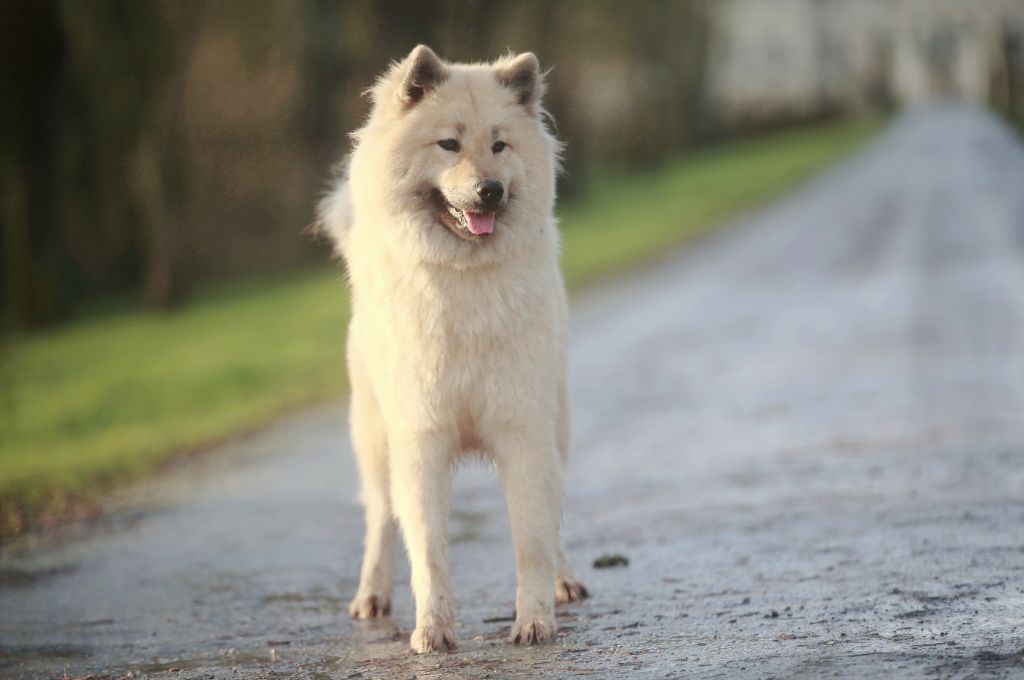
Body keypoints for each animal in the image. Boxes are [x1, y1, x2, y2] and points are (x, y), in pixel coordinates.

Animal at [315, 43, 589, 655]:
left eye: (499, 145)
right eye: (449, 144)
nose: (491, 190)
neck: (464, 285)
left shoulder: (523, 432)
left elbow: (532, 539)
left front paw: (534, 620)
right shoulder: (421, 441)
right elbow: (428, 550)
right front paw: (433, 628)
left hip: (557, 427)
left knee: (557, 519)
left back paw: (565, 581)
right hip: (376, 442)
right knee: (380, 521)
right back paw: (372, 596)